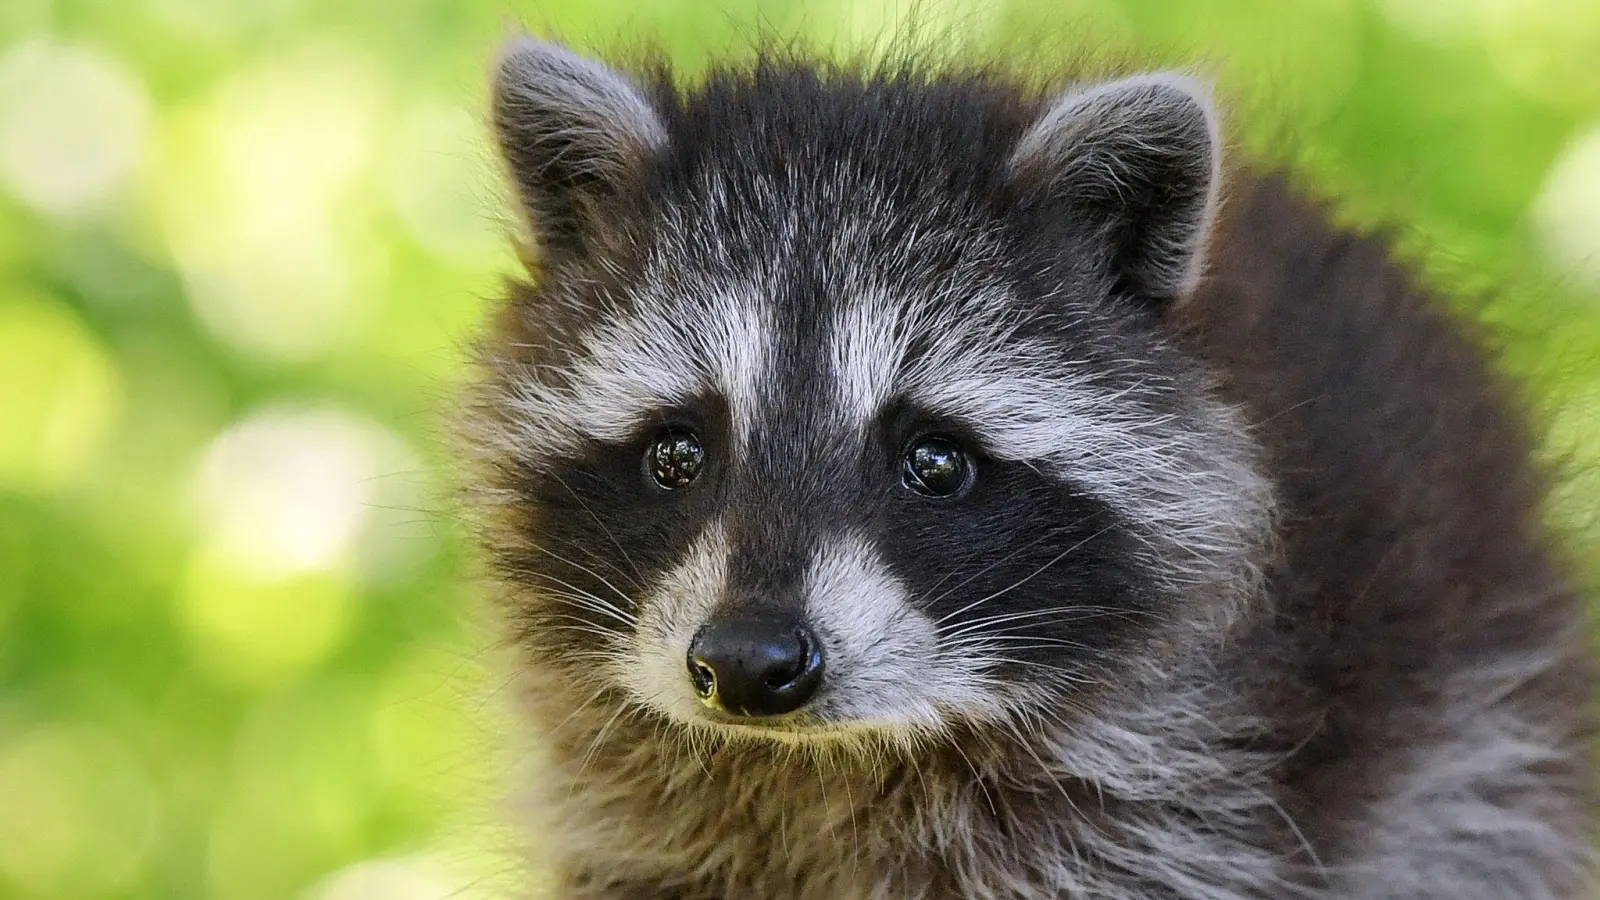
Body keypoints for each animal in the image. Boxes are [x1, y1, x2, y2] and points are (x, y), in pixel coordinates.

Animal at [467, 31, 1600, 890]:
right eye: (677, 452)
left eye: (934, 462)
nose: (748, 663)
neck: (827, 764)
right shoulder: (633, 817)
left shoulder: (1184, 792)